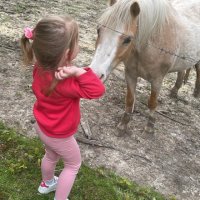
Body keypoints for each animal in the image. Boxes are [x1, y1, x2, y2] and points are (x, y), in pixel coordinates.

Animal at [90, 0, 199, 134]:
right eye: (98, 30)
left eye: (128, 39)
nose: (95, 74)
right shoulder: (130, 74)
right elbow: (130, 99)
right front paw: (124, 123)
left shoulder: (157, 80)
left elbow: (152, 102)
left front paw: (150, 126)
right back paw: (174, 91)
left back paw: (196, 92)